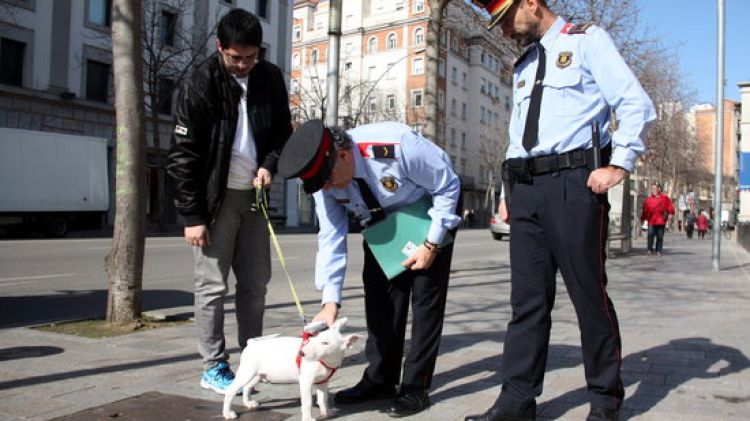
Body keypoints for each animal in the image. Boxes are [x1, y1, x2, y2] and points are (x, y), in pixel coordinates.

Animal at [222, 316, 360, 418]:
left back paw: (248, 403)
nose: (301, 353)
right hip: (246, 372)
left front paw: (327, 412)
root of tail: (251, 343)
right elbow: (307, 402)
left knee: (247, 387)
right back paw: (228, 413)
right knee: (231, 390)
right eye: (314, 339)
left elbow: (323, 398)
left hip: (257, 374)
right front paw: (308, 418)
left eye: (325, 343)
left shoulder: (323, 382)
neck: (325, 362)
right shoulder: (305, 381)